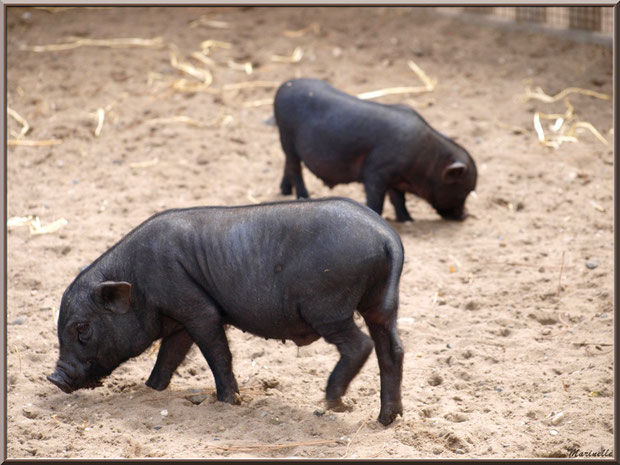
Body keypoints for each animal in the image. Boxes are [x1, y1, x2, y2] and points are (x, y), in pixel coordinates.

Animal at [48, 198, 406, 426]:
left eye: (82, 328)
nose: (54, 377)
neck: (139, 281)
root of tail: (387, 237)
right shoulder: (180, 320)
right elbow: (169, 357)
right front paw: (150, 389)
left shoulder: (197, 310)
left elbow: (217, 353)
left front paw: (227, 402)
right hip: (379, 305)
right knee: (393, 349)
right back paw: (386, 419)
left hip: (328, 306)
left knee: (361, 345)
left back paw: (334, 403)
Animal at [274, 79, 478, 222]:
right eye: (463, 191)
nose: (464, 216)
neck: (423, 161)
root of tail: (283, 87)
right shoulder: (376, 172)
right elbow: (377, 200)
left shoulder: (395, 179)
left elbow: (398, 199)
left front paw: (407, 219)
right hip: (287, 137)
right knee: (295, 168)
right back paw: (303, 196)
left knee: (287, 165)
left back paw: (284, 191)